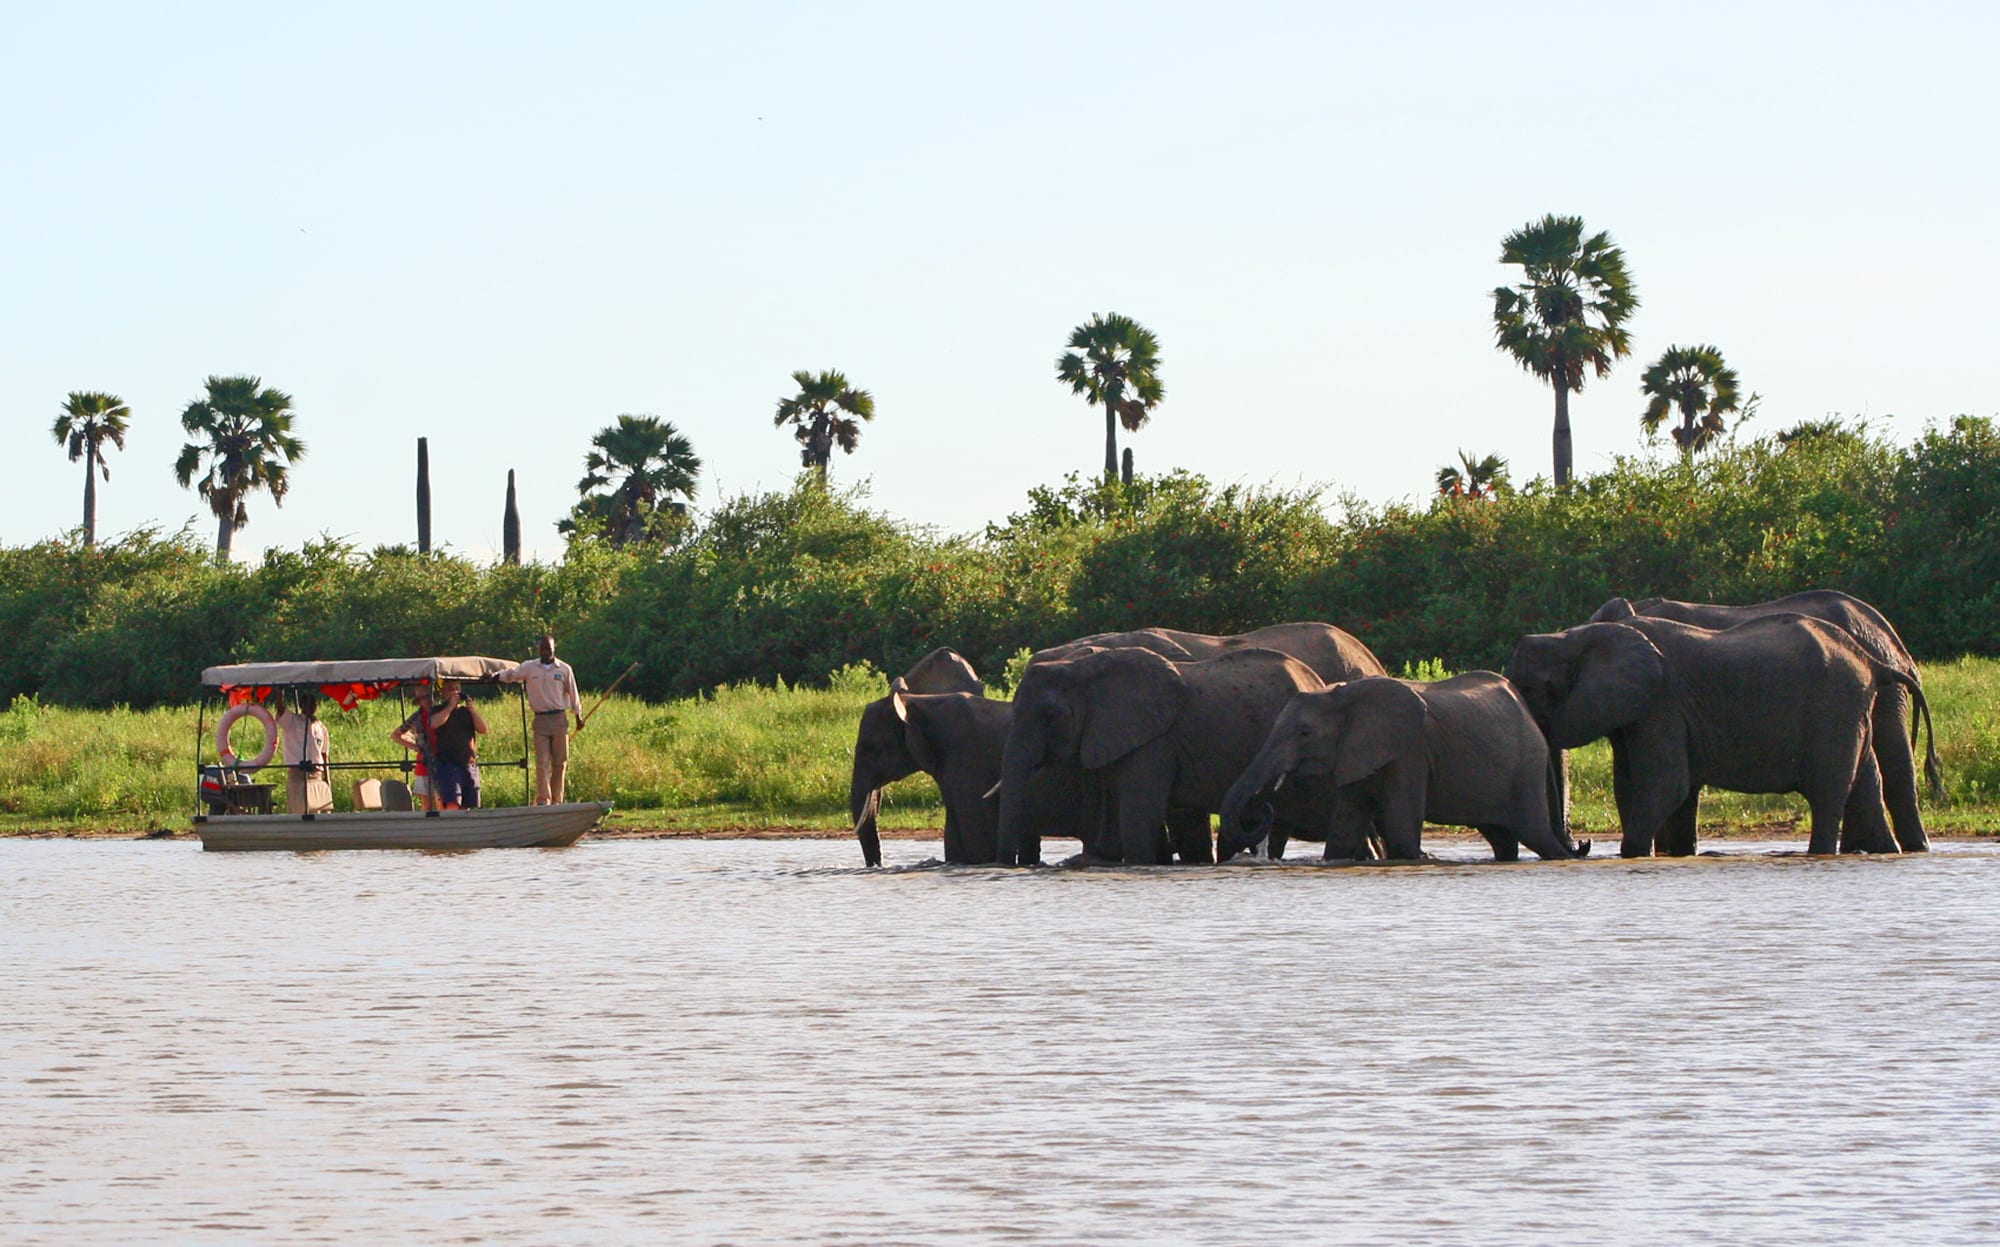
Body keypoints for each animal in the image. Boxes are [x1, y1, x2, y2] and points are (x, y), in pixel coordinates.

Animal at [1208, 671, 1584, 867]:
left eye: (1304, 733)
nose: (1263, 806)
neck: (1340, 696)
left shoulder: (1410, 751)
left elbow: (1401, 828)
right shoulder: (1355, 751)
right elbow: (1343, 831)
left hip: (1526, 763)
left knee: (1534, 832)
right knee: (1502, 836)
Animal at [1504, 615, 1928, 855]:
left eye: (1533, 689)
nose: (1583, 845)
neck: (1574, 636)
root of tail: (1872, 661)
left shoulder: (1660, 701)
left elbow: (1665, 782)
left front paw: (1634, 854)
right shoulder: (1639, 708)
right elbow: (1633, 783)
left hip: (1833, 709)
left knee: (1828, 793)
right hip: (1851, 711)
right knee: (1866, 786)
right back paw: (1888, 852)